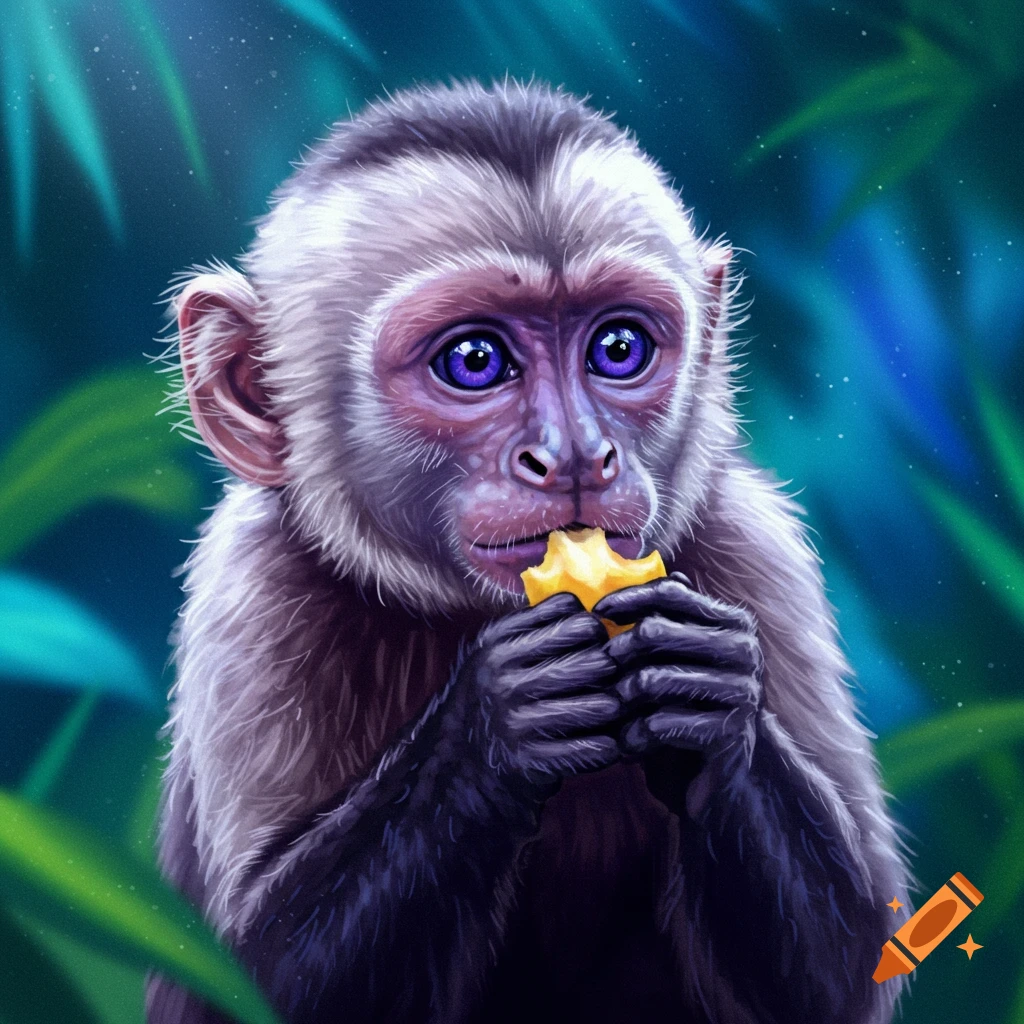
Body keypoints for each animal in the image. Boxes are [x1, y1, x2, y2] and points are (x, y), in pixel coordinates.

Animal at [146, 79, 912, 1024]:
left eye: (618, 349)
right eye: (475, 360)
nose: (577, 456)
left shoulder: (758, 548)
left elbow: (847, 970)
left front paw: (706, 696)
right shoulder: (247, 592)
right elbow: (245, 981)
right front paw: (494, 724)